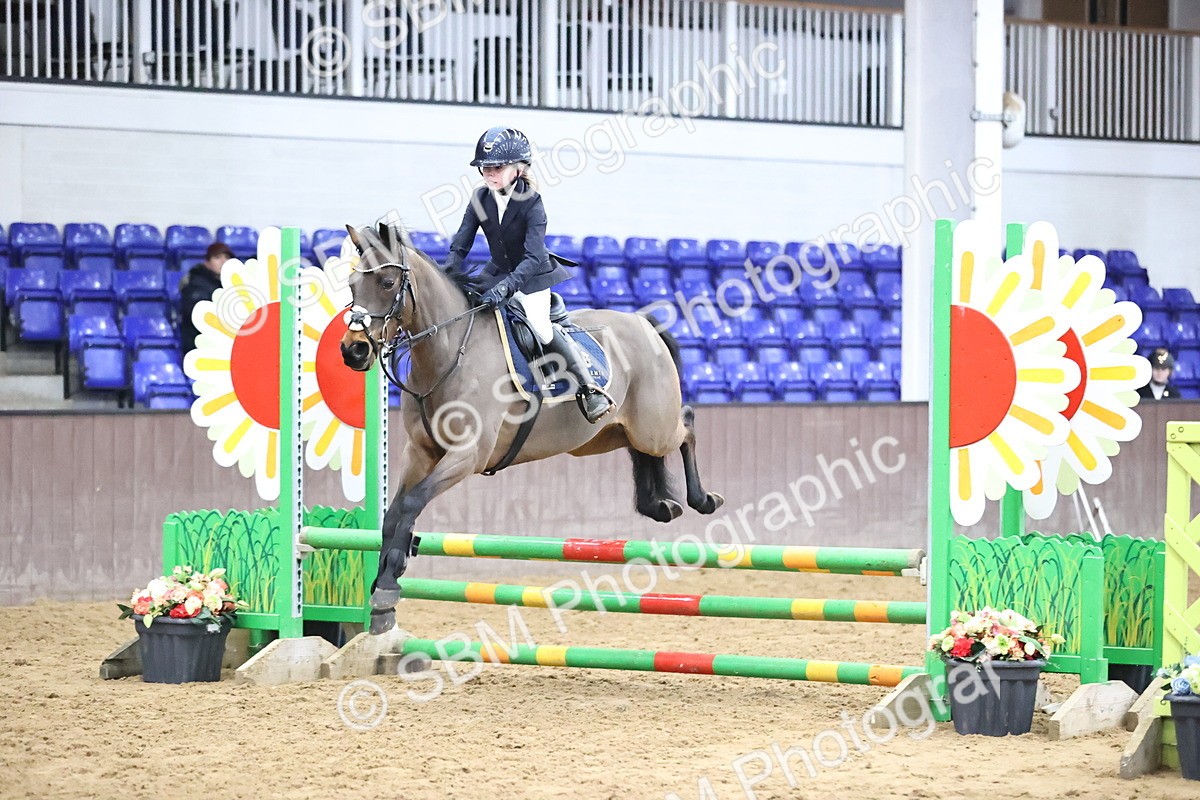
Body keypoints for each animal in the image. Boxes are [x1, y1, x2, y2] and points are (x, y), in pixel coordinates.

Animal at [340, 220, 724, 634]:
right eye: (352, 284)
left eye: (387, 283)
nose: (354, 350)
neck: (448, 353)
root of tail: (643, 322)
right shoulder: (420, 452)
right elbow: (394, 514)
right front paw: (382, 592)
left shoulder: (468, 455)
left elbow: (412, 503)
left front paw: (387, 589)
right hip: (605, 435)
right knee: (639, 448)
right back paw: (659, 505)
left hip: (654, 428)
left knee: (686, 425)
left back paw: (703, 498)